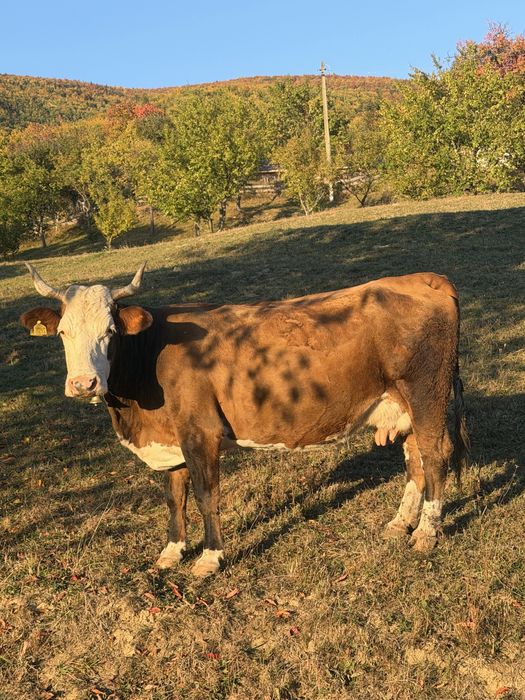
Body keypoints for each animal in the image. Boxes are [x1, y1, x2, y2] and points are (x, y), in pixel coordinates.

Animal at [20, 263, 469, 576]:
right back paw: (400, 523)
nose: (83, 383)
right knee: (414, 459)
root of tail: (423, 278)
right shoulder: (171, 438)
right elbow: (175, 497)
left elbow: (206, 496)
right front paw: (171, 552)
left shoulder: (199, 432)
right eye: (62, 332)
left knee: (435, 455)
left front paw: (210, 558)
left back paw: (426, 532)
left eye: (111, 331)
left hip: (426, 394)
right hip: (402, 403)